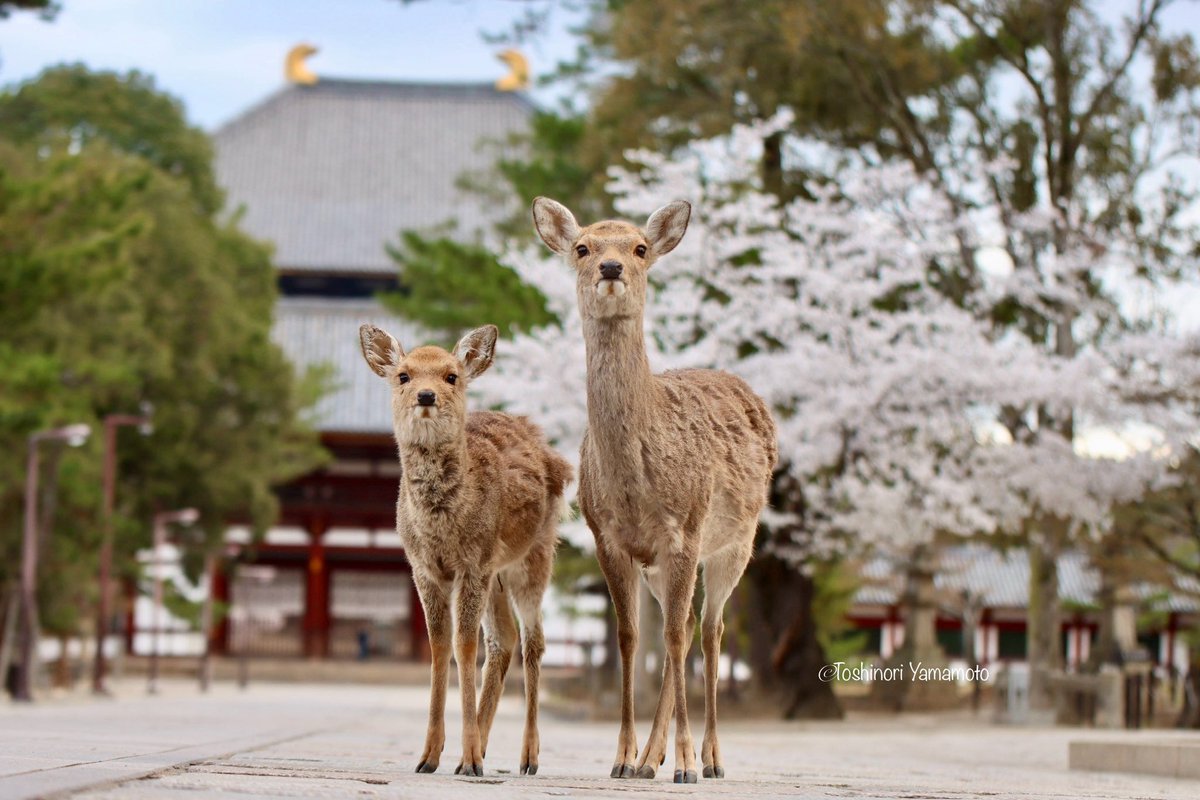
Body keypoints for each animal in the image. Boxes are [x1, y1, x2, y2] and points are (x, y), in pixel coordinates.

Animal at [359, 322, 572, 778]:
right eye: (403, 375)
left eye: (451, 376)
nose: (426, 395)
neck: (442, 527)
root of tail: (555, 457)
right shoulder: (424, 568)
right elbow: (441, 645)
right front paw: (430, 756)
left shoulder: (473, 564)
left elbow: (464, 645)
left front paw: (468, 755)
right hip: (497, 572)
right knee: (504, 638)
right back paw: (476, 753)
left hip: (534, 556)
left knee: (533, 640)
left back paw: (527, 757)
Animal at [532, 198, 778, 784]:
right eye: (582, 247)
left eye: (640, 248)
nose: (611, 266)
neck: (634, 486)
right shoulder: (609, 538)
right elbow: (630, 637)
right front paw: (623, 757)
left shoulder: (684, 529)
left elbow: (671, 637)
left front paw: (685, 762)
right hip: (661, 565)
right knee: (682, 625)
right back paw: (650, 759)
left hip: (737, 542)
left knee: (708, 630)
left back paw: (710, 758)